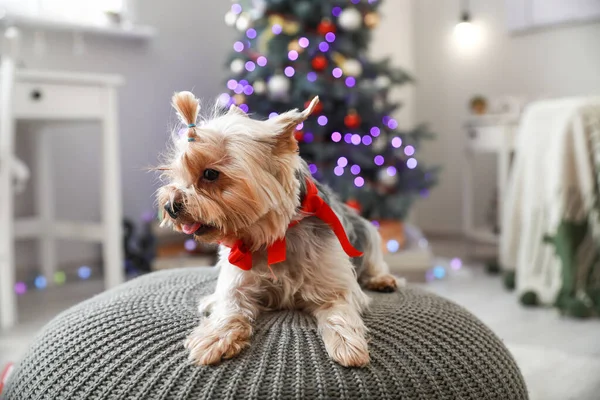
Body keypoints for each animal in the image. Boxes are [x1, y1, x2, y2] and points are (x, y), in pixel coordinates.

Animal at [156, 92, 398, 368]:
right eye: (176, 175)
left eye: (210, 174)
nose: (169, 206)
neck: (272, 236)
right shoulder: (238, 278)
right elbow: (230, 304)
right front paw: (215, 337)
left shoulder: (335, 283)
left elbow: (340, 309)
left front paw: (348, 345)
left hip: (369, 234)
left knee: (375, 263)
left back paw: (382, 280)